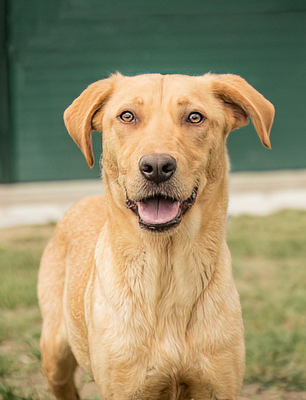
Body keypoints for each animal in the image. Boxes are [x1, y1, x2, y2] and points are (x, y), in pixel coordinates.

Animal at [38, 72, 274, 400]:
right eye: (127, 116)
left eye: (194, 117)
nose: (158, 167)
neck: (167, 272)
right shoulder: (126, 389)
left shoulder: (217, 386)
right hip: (55, 357)